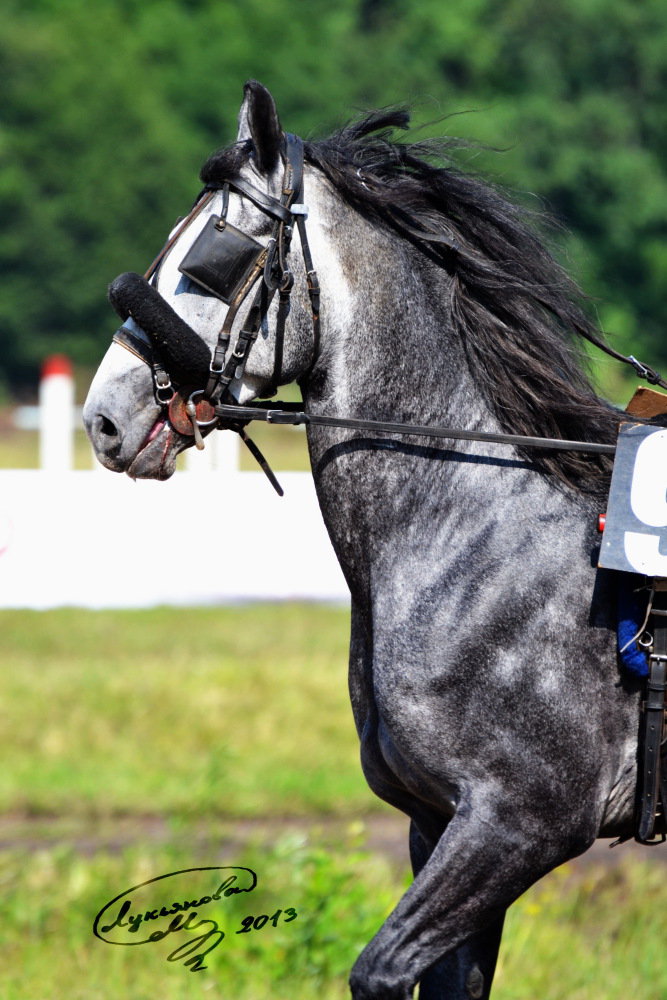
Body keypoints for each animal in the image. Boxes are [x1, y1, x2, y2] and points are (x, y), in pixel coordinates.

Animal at [86, 82, 640, 996]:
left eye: (213, 255)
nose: (103, 419)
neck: (474, 539)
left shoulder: (520, 823)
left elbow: (377, 972)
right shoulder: (437, 822)